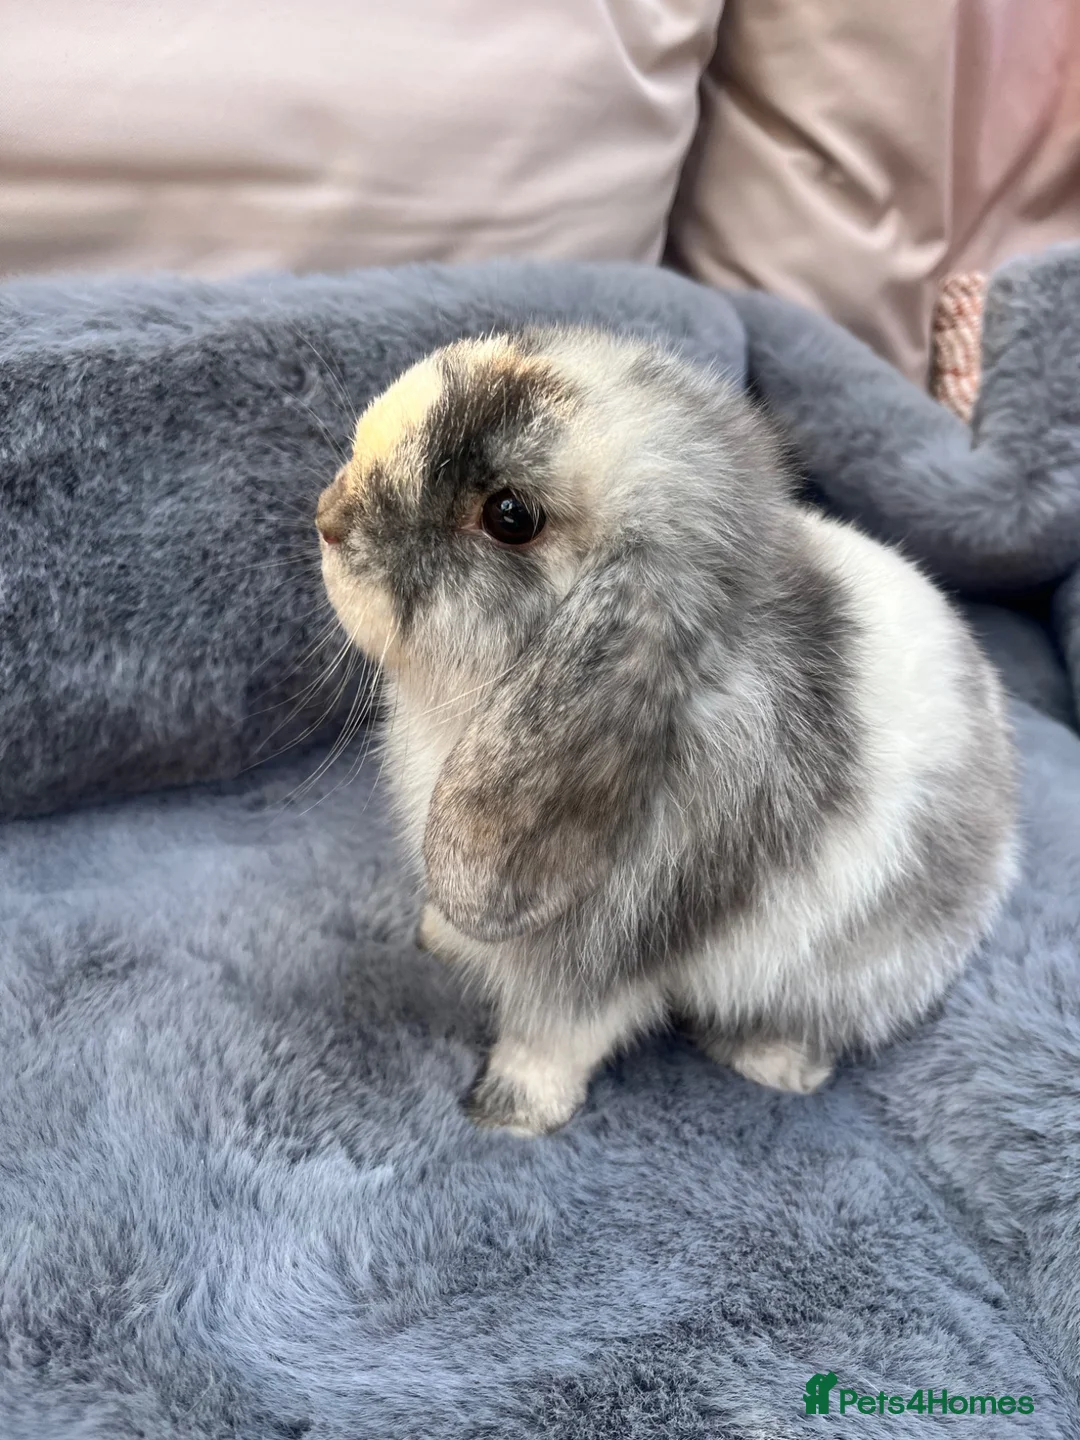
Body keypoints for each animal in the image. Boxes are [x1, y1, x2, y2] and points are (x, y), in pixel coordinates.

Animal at [316, 327, 1018, 1137]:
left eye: (510, 516)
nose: (327, 518)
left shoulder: (606, 952)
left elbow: (556, 1035)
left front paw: (508, 1114)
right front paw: (435, 937)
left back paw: (772, 1064)